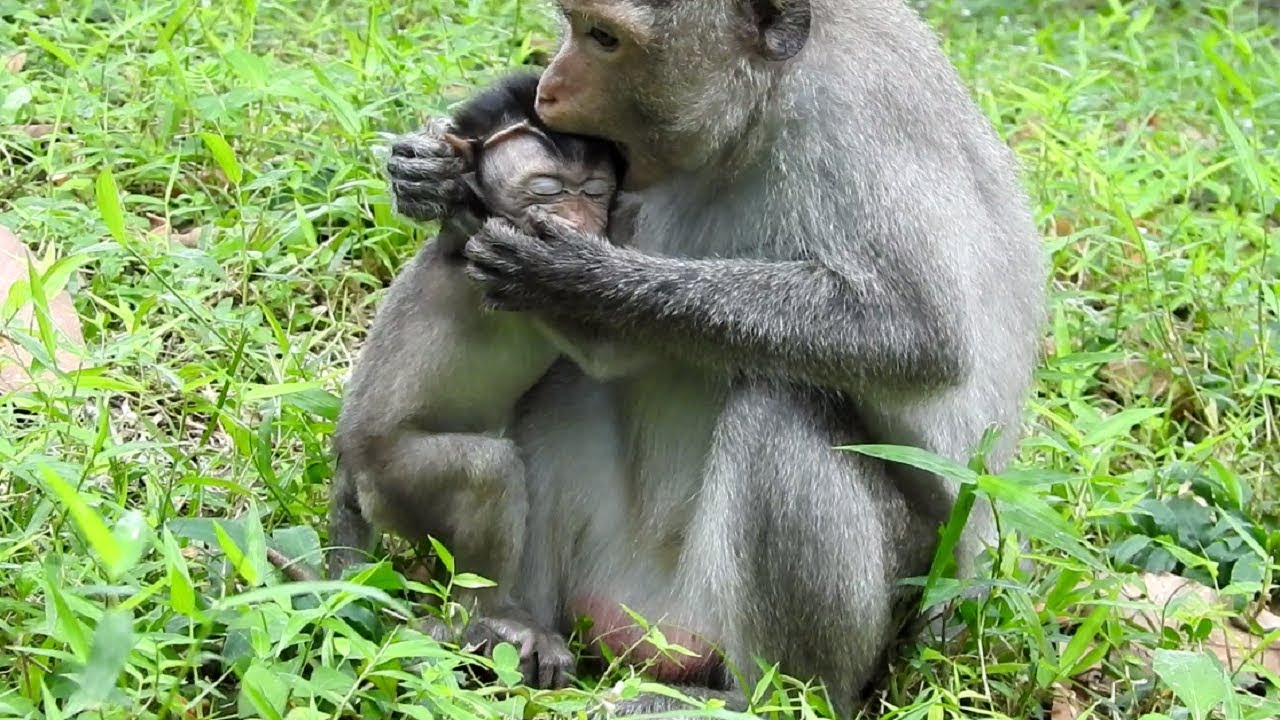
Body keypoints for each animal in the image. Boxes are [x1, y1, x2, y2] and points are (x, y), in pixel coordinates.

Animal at [328, 70, 629, 690]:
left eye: (592, 191)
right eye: (547, 189)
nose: (577, 225)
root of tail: (348, 461)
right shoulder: (487, 258)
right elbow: (609, 352)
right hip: (396, 479)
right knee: (487, 471)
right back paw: (489, 616)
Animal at [385, 0, 1047, 715]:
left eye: (605, 38)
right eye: (574, 25)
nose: (547, 92)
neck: (760, 111)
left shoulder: (857, 121)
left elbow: (921, 337)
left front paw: (576, 279)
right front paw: (432, 175)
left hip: (905, 593)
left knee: (779, 407)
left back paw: (764, 699)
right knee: (560, 386)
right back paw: (514, 631)